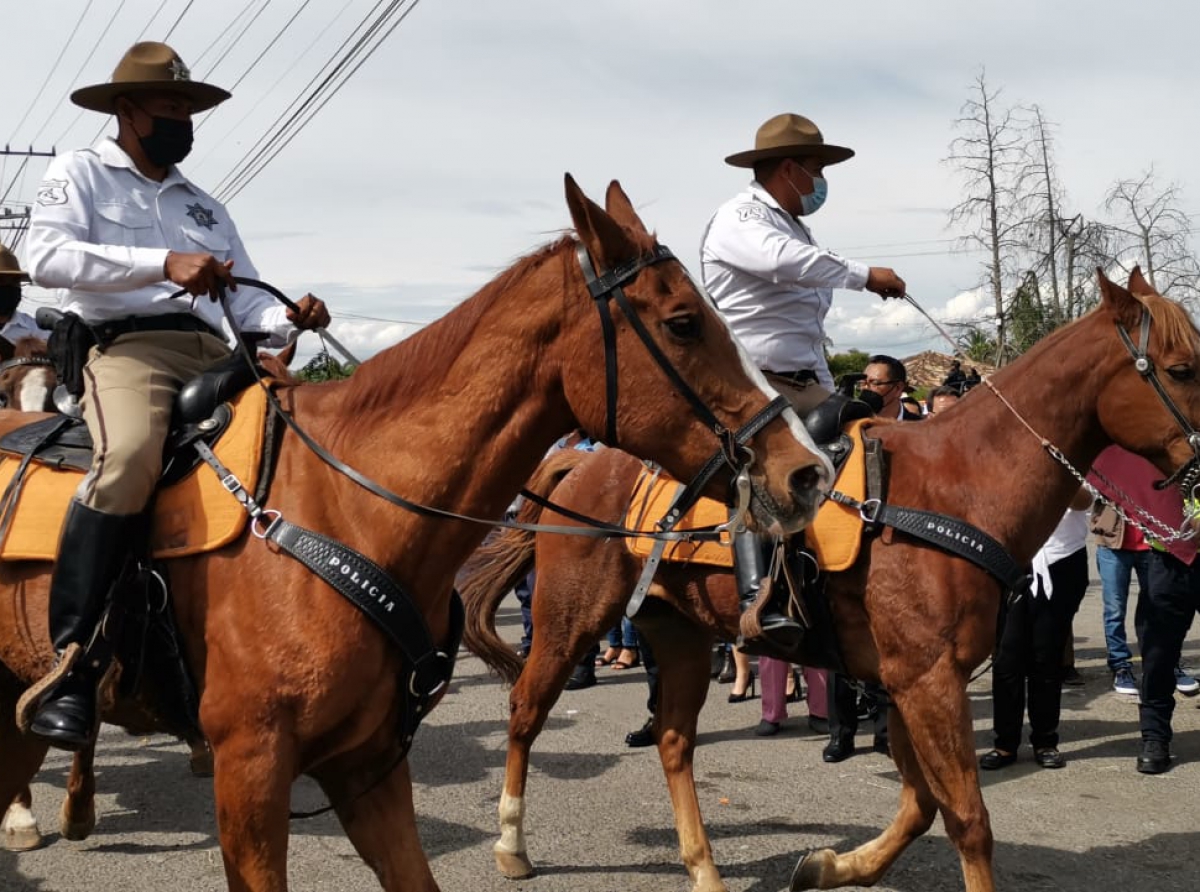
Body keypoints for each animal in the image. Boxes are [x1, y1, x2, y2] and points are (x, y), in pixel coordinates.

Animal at [456, 270, 1200, 892]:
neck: (960, 482)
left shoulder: (908, 680)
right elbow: (966, 817)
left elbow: (922, 804)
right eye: (1182, 368)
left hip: (680, 634)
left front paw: (833, 865)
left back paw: (703, 869)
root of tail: (578, 465)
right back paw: (512, 845)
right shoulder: (926, 679)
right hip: (569, 619)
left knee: (673, 743)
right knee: (525, 710)